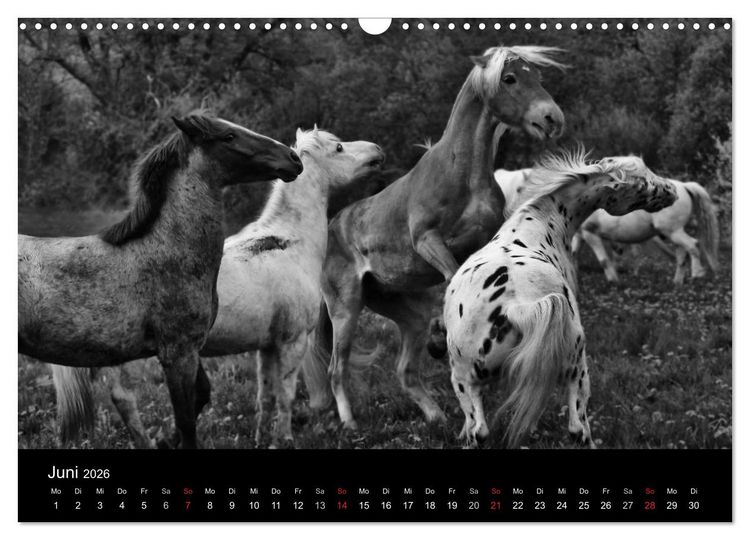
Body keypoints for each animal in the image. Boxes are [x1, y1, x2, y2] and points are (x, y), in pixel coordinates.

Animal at [20, 113, 303, 449]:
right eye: (229, 137)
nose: (293, 159)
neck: (165, 251)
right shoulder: (177, 354)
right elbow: (186, 422)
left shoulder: (191, 349)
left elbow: (201, 397)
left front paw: (165, 441)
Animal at [51, 128, 384, 448]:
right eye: (338, 148)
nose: (377, 151)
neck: (289, 242)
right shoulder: (292, 341)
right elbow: (286, 396)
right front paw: (283, 439)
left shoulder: (266, 346)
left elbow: (265, 396)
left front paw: (261, 439)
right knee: (124, 398)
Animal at [304, 45, 566, 430]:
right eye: (509, 78)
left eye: (538, 76)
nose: (552, 119)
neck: (462, 174)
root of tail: (333, 228)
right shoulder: (428, 240)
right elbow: (452, 276)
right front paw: (443, 336)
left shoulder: (482, 244)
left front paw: (444, 338)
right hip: (345, 309)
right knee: (336, 368)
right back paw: (350, 423)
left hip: (397, 307)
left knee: (405, 369)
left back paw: (435, 414)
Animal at [443, 152, 677, 448]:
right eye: (642, 181)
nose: (673, 190)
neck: (534, 228)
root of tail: (514, 305)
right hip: (573, 372)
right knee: (576, 430)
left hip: (472, 381)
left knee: (482, 431)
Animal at [571, 158, 719, 285]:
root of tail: (683, 185)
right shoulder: (579, 235)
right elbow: (573, 253)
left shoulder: (590, 233)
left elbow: (604, 261)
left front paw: (613, 280)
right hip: (675, 233)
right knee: (682, 254)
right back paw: (677, 282)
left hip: (672, 231)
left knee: (692, 246)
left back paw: (696, 274)